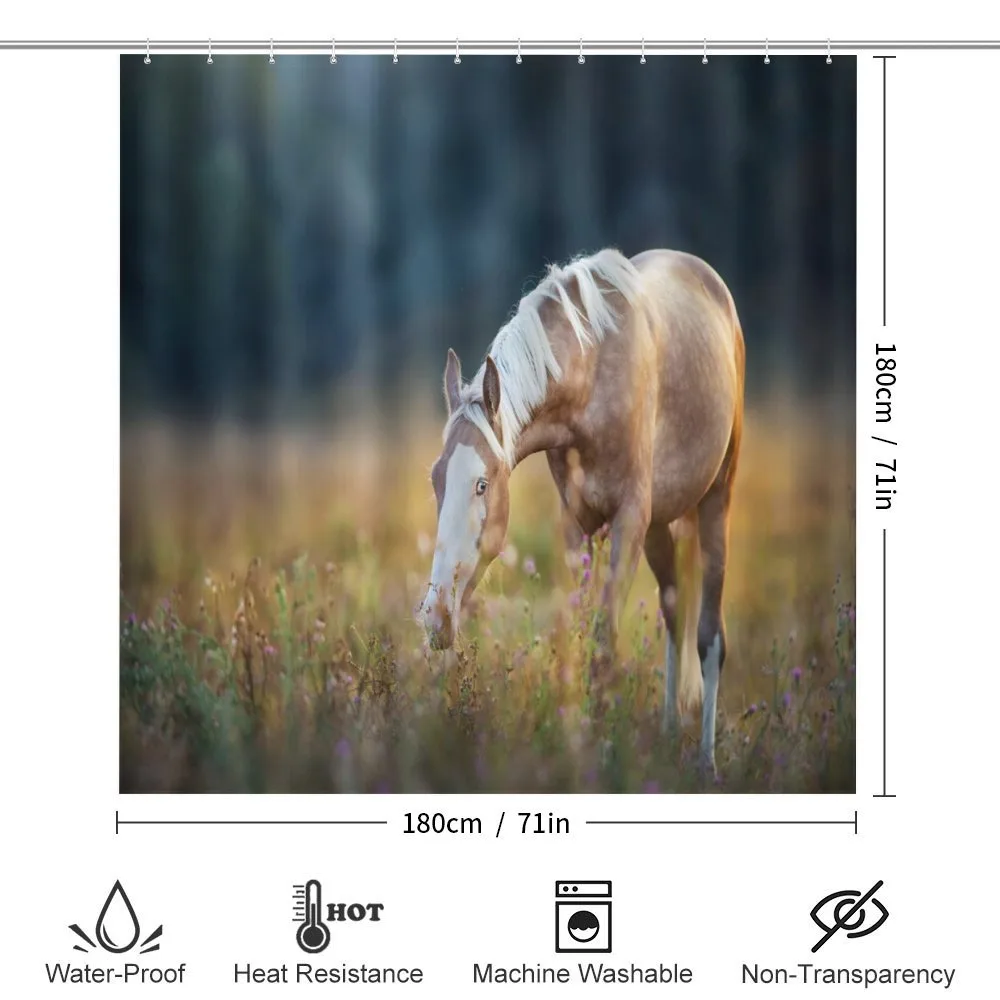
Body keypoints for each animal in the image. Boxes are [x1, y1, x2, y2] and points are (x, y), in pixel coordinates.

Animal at [418, 247, 745, 774]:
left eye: (482, 484)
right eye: (435, 480)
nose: (436, 617)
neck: (592, 377)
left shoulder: (629, 521)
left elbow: (604, 642)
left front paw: (606, 752)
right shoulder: (579, 527)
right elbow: (580, 635)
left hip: (717, 498)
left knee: (709, 637)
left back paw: (705, 763)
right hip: (660, 529)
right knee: (675, 616)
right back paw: (669, 736)